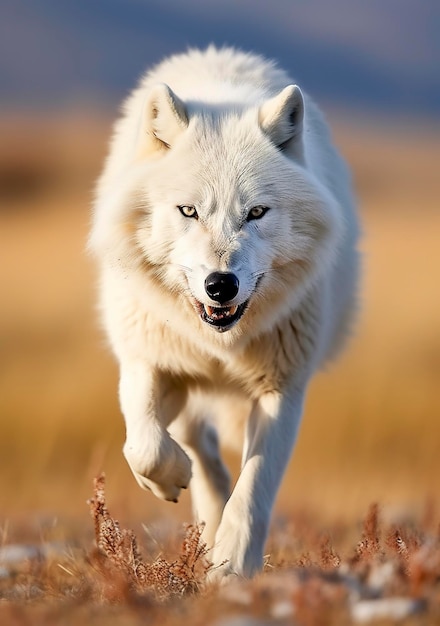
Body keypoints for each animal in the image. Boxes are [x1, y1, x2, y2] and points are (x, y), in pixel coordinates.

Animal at [89, 46, 358, 576]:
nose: (220, 285)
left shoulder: (283, 390)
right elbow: (144, 445)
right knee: (198, 446)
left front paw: (232, 567)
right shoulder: (146, 359)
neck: (222, 344)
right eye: (189, 211)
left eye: (256, 212)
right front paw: (170, 479)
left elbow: (254, 489)